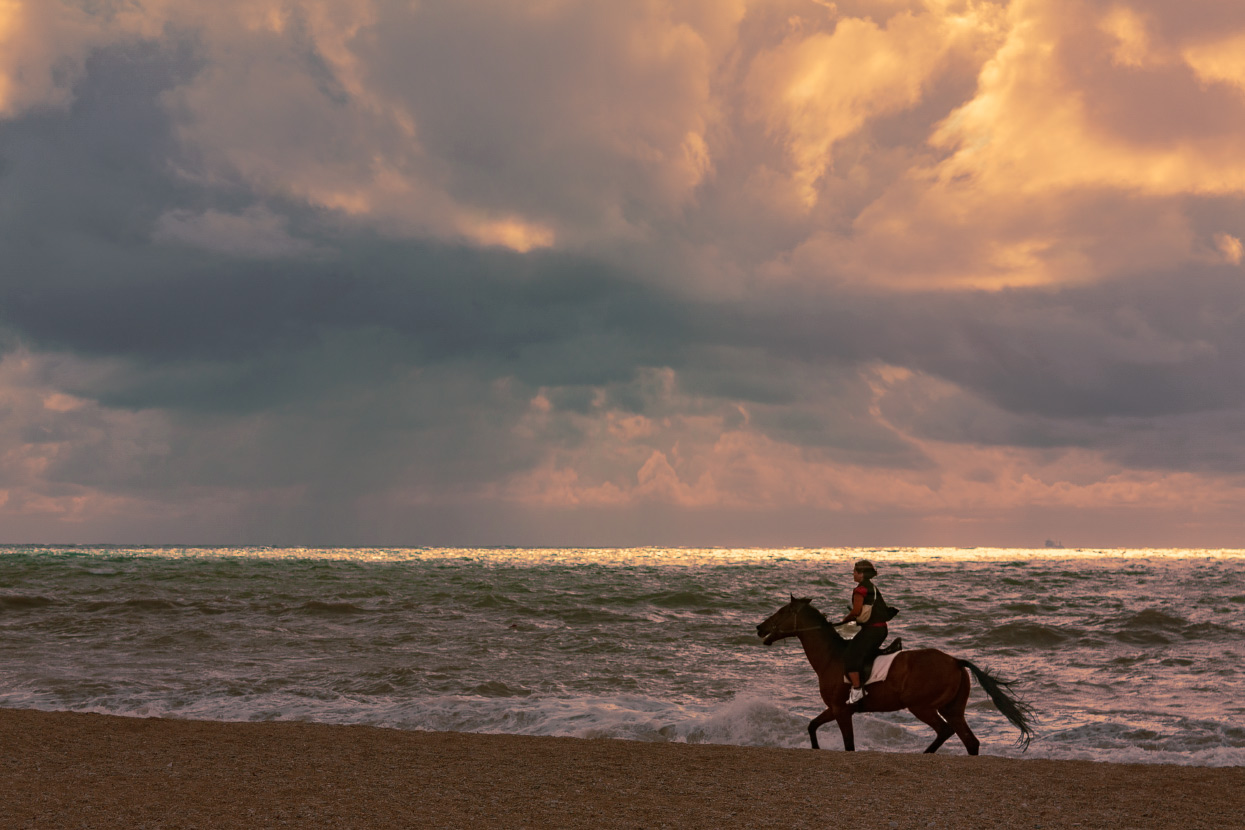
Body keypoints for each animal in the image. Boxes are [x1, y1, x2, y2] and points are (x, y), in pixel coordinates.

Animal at [751, 594, 1035, 756]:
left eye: (782, 612)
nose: (759, 627)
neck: (832, 656)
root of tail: (955, 661)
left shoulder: (841, 710)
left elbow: (848, 744)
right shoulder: (835, 708)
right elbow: (812, 725)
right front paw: (815, 749)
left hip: (922, 707)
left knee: (944, 731)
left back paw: (926, 753)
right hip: (953, 709)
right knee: (970, 742)